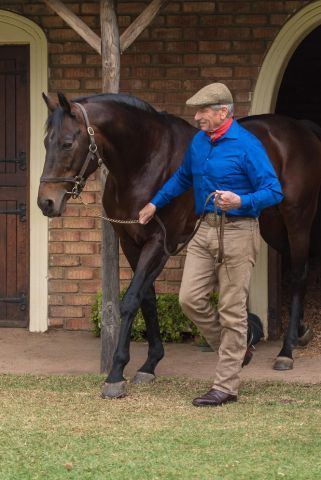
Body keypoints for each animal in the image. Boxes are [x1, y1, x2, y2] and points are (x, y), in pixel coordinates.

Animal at [38, 93, 320, 398]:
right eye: (46, 142)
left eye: (67, 143)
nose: (46, 202)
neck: (143, 162)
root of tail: (301, 129)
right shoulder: (130, 242)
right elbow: (147, 299)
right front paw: (149, 364)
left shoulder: (160, 242)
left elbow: (131, 300)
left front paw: (116, 373)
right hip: (271, 223)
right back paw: (300, 332)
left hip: (296, 220)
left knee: (298, 275)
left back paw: (286, 351)